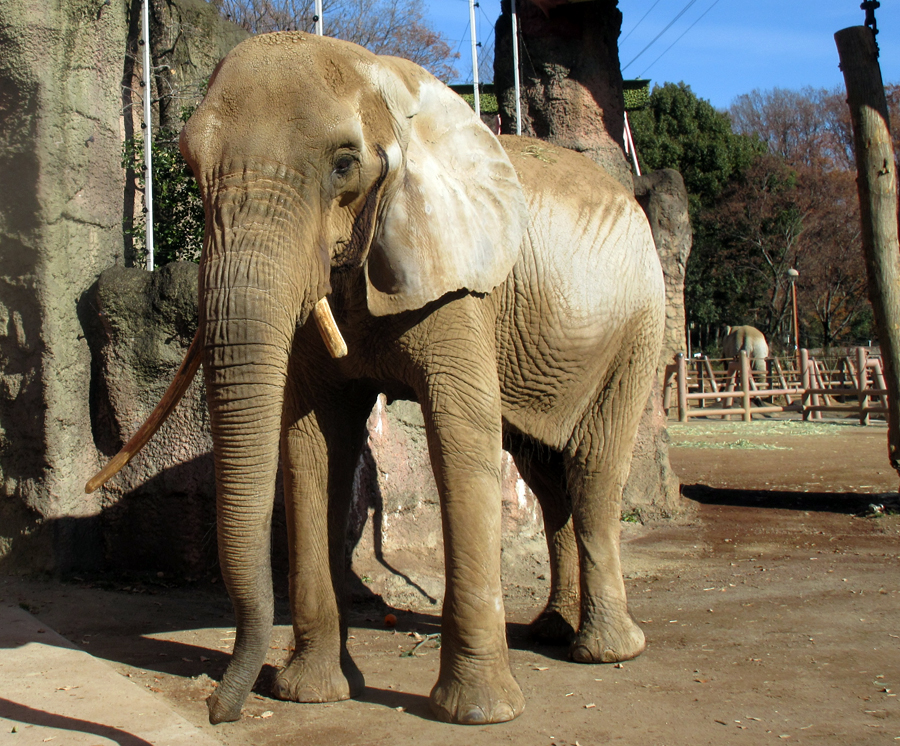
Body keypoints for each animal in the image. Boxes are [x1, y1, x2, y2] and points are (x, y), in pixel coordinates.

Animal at [89, 32, 668, 724]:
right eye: (188, 161)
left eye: (345, 164)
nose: (216, 708)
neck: (385, 84)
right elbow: (312, 446)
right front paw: (308, 694)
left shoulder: (460, 283)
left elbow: (461, 441)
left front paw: (477, 714)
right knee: (544, 473)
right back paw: (551, 632)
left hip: (639, 323)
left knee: (592, 471)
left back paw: (605, 653)